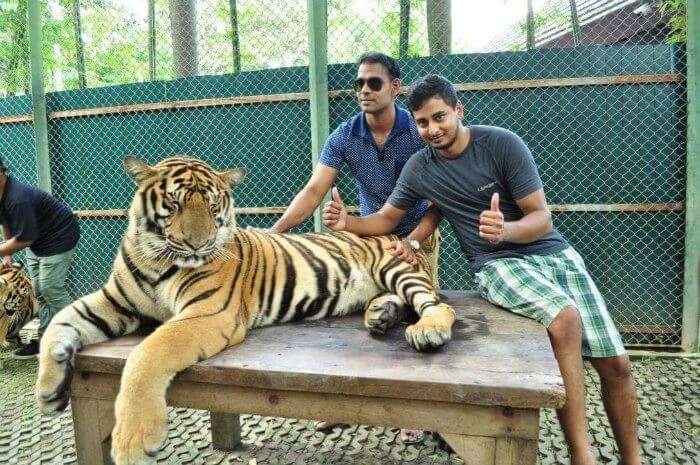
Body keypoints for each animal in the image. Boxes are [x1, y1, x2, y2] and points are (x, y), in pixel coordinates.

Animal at [35, 156, 456, 464]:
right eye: (174, 204)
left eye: (212, 206)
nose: (197, 244)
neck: (158, 260)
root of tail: (394, 235)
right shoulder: (114, 300)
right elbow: (59, 322)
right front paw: (47, 391)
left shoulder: (207, 312)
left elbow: (147, 353)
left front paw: (134, 440)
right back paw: (380, 314)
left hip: (396, 268)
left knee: (438, 304)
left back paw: (427, 330)